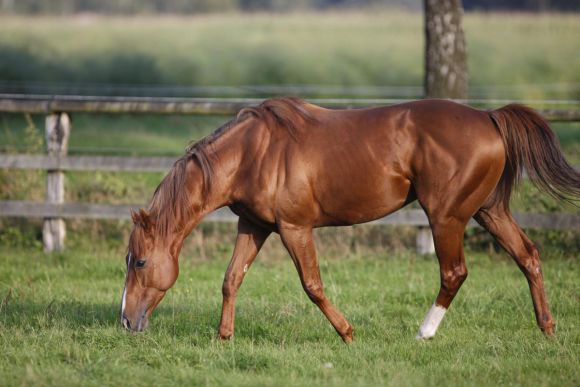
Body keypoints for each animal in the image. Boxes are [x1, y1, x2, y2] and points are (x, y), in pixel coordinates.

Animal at [120, 98, 576, 342]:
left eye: (139, 261)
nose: (126, 320)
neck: (254, 152)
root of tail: (488, 117)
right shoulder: (254, 226)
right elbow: (231, 279)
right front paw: (224, 337)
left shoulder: (294, 228)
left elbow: (313, 285)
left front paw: (347, 332)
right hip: (488, 210)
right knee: (528, 256)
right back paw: (547, 328)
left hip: (446, 216)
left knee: (454, 273)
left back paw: (424, 332)